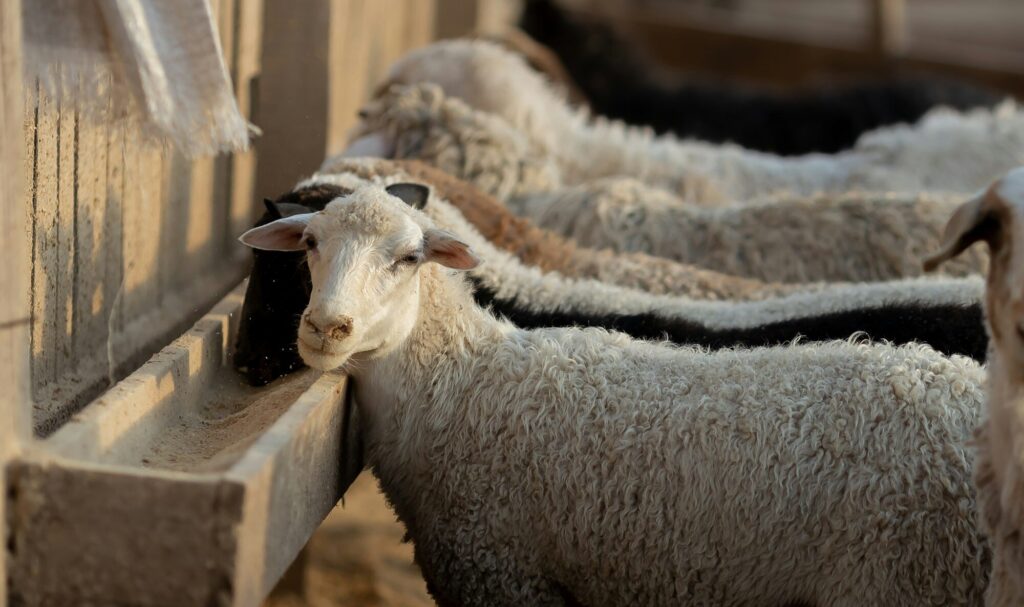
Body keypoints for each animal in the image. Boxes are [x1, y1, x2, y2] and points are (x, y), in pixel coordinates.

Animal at [235, 180, 987, 605]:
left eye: (410, 257)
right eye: (308, 244)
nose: (326, 327)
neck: (461, 382)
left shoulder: (504, 569)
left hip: (906, 580)